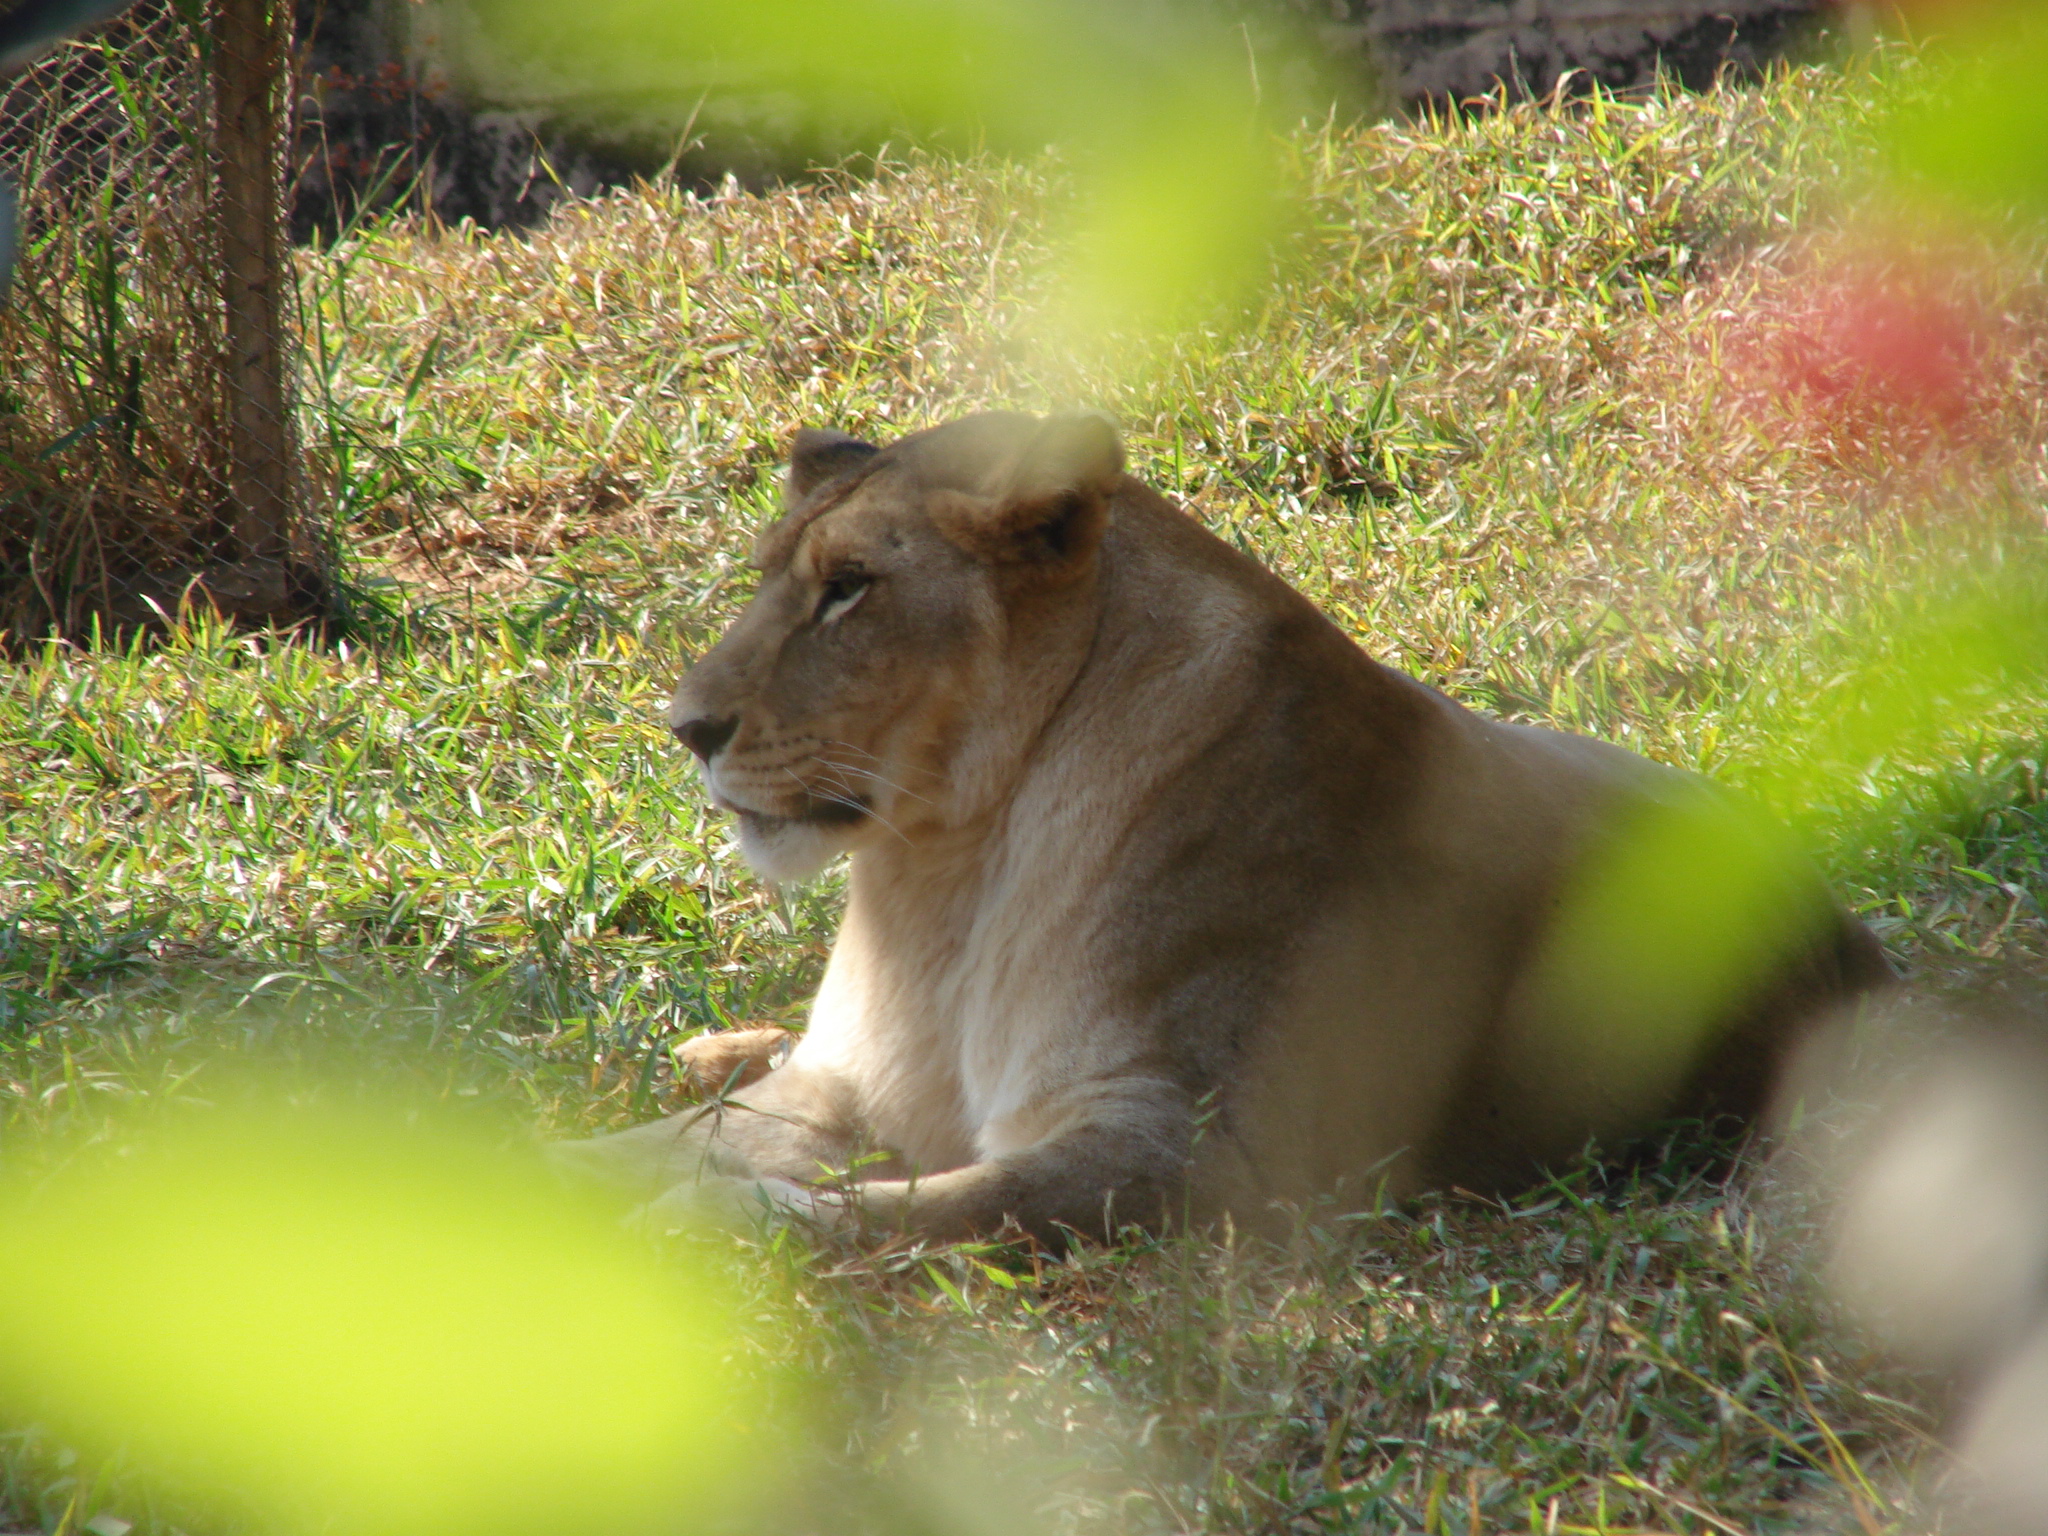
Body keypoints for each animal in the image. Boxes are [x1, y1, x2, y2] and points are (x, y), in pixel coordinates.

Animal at [548, 411, 1884, 1253]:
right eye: (771, 574)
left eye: (848, 589)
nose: (686, 728)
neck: (946, 870)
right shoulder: (847, 1088)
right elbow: (653, 1147)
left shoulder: (1195, 1154)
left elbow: (901, 1211)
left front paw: (698, 1231)